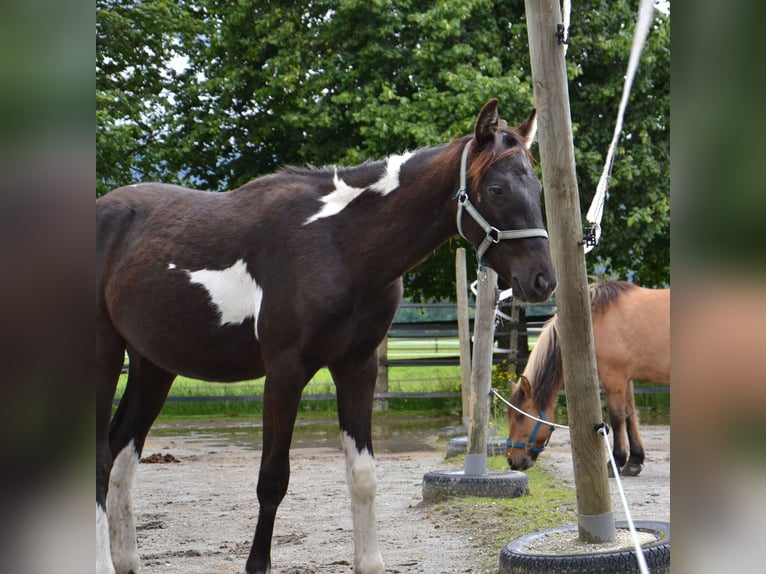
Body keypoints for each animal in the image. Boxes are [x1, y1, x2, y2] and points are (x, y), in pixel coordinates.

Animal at [97, 100, 560, 574]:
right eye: (497, 189)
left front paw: (369, 562)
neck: (339, 244)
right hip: (104, 355)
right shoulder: (285, 372)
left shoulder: (358, 367)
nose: (543, 280)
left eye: (537, 186)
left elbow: (363, 475)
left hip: (153, 365)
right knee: (99, 458)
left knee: (121, 452)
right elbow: (272, 479)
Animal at [508, 282, 668, 480]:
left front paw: (615, 462)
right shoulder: (626, 379)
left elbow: (617, 418)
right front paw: (634, 462)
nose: (511, 460)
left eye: (520, 416)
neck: (596, 318)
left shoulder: (614, 378)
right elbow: (630, 415)